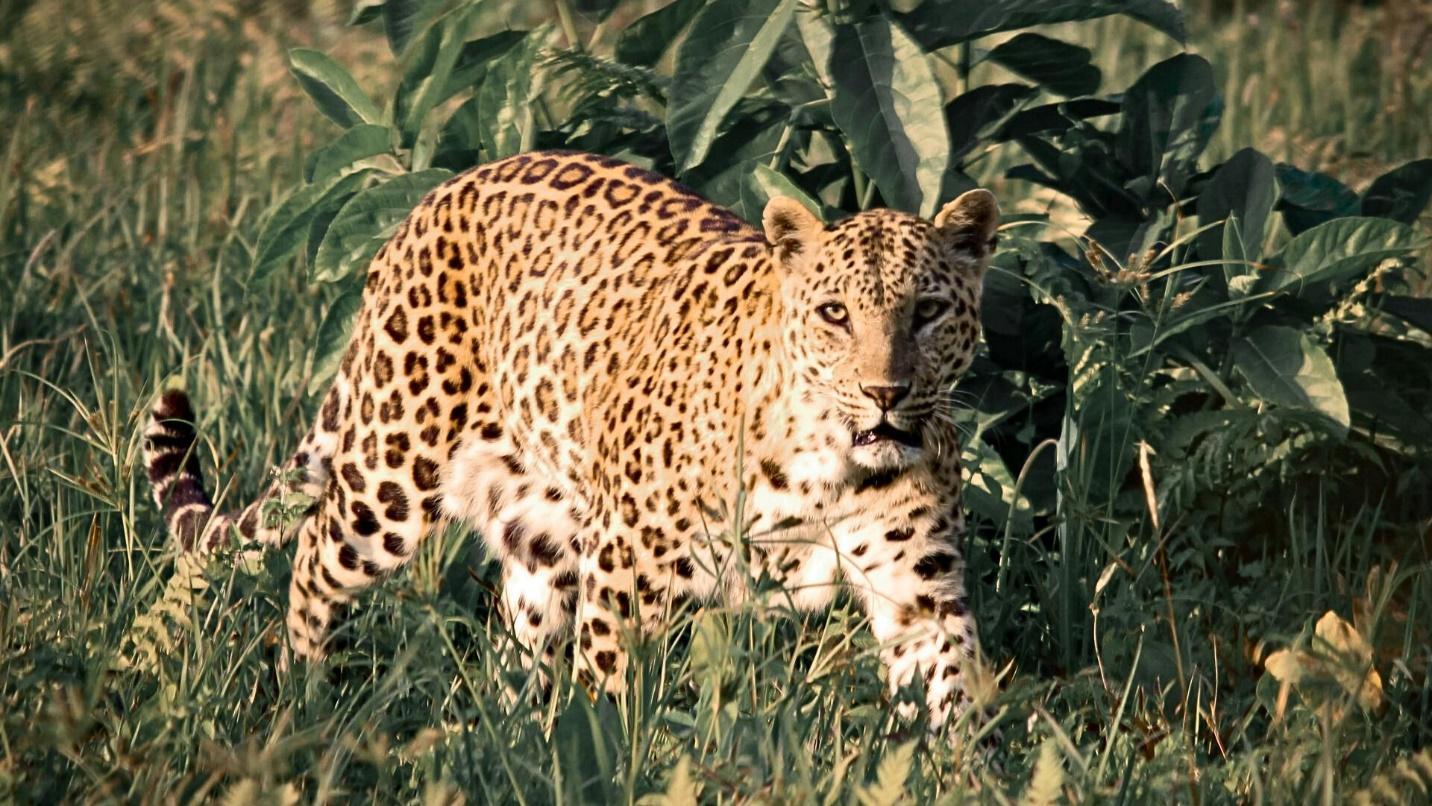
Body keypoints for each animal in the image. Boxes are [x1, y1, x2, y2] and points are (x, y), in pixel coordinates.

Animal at [143, 149, 1000, 731]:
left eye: (927, 311)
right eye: (835, 314)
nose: (885, 393)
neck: (830, 460)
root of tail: (436, 196)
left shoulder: (918, 588)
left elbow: (952, 685)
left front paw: (964, 773)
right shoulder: (630, 566)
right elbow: (611, 689)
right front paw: (610, 760)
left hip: (543, 522)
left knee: (521, 639)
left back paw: (519, 737)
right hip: (392, 467)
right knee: (315, 549)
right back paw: (307, 694)